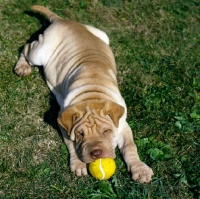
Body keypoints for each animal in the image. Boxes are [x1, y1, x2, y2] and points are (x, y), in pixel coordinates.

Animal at [14, 5, 153, 183]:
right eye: (80, 133)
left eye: (106, 131)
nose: (96, 153)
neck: (93, 93)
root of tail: (62, 20)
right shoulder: (64, 124)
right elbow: (72, 145)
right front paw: (78, 164)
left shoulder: (123, 126)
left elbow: (130, 146)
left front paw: (140, 169)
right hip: (40, 52)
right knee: (26, 48)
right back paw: (22, 67)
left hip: (103, 35)